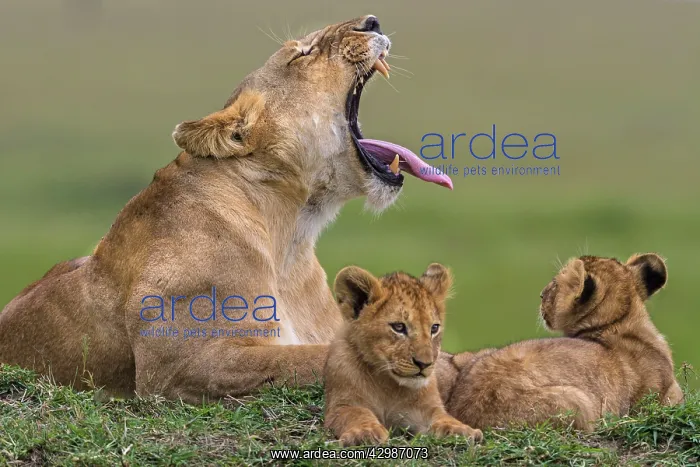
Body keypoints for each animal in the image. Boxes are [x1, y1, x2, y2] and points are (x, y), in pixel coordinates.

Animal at [324, 264, 483, 446]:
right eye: (399, 327)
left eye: (434, 328)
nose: (424, 364)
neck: (387, 383)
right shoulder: (341, 405)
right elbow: (357, 414)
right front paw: (365, 433)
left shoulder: (424, 409)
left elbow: (442, 416)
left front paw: (461, 429)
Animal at [444, 253, 684, 431]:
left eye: (555, 285)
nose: (541, 295)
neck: (619, 322)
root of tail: (463, 414)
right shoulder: (663, 398)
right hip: (578, 402)